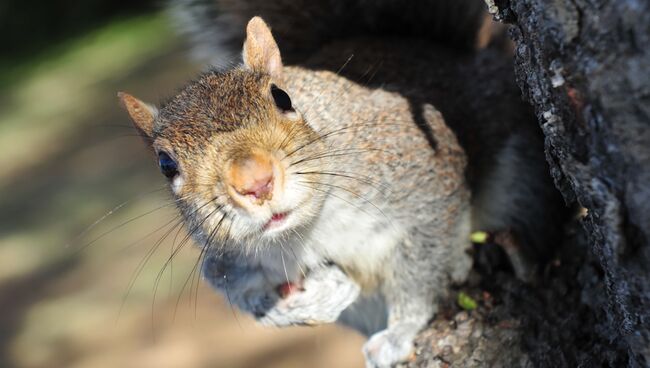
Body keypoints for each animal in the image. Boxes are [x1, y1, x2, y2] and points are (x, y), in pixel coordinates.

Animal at [119, 1, 564, 366]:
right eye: (165, 164)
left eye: (282, 97)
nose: (256, 183)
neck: (308, 228)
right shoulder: (227, 258)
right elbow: (234, 288)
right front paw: (292, 309)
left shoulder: (424, 179)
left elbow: (422, 265)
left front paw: (401, 330)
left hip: (519, 179)